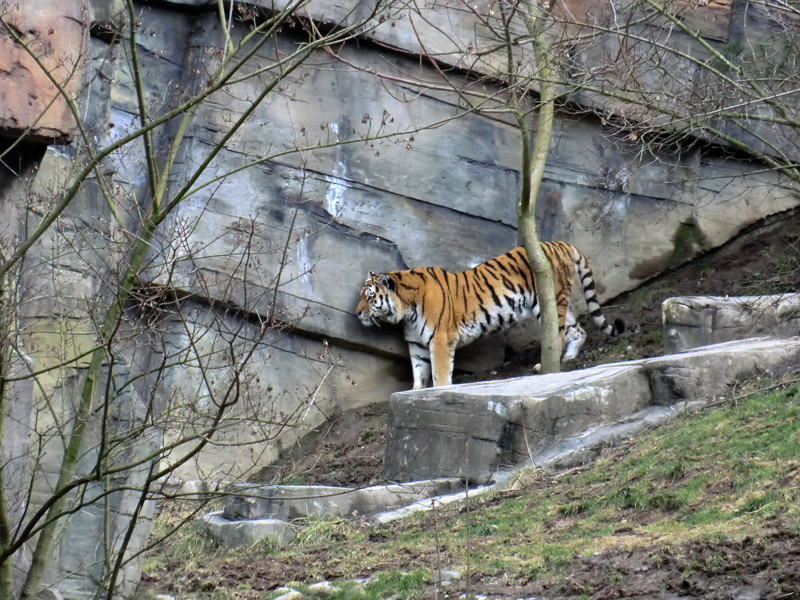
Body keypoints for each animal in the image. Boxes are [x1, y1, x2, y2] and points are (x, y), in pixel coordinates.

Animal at [354, 241, 624, 392]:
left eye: (369, 296)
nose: (357, 313)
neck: (407, 310)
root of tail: (561, 244)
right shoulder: (417, 343)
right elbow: (419, 372)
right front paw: (416, 392)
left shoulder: (440, 338)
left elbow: (439, 371)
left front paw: (439, 391)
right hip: (557, 303)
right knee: (578, 330)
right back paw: (569, 358)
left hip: (548, 302)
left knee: (558, 335)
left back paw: (547, 366)